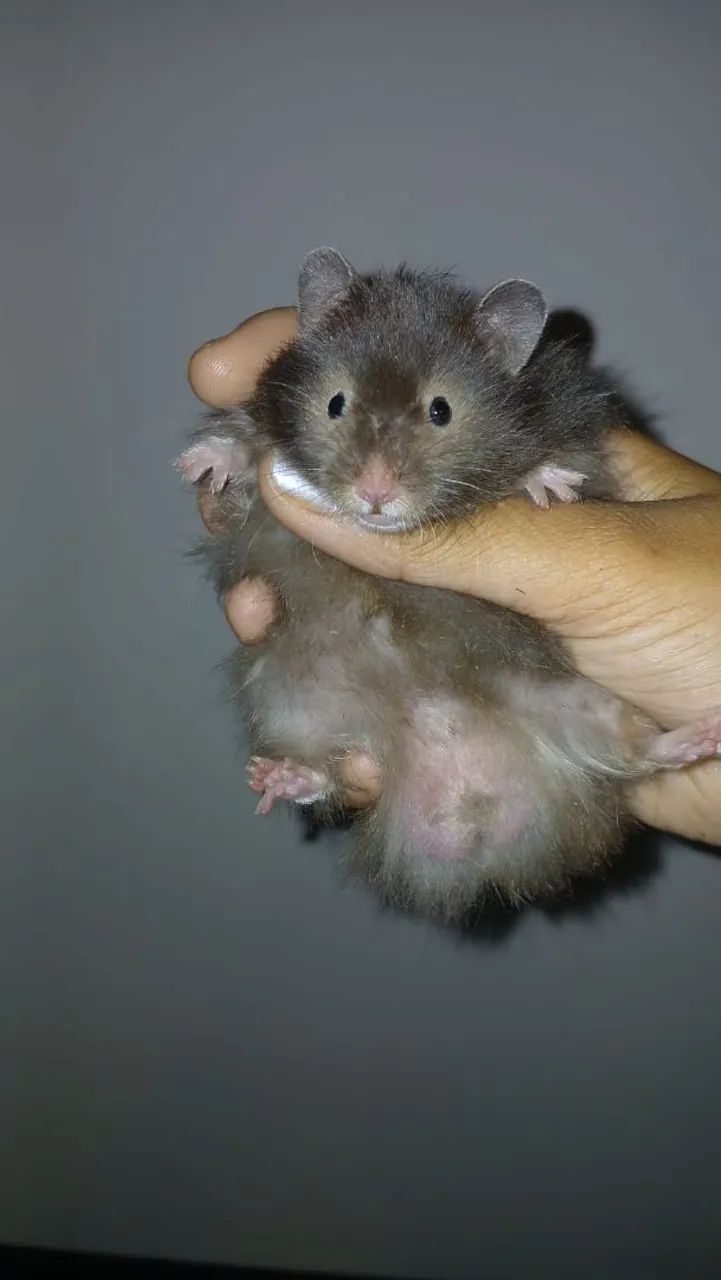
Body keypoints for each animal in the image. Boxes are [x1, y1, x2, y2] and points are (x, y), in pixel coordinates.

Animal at [177, 249, 721, 923]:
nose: (375, 493)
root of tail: (470, 810)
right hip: (292, 697)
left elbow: (557, 466)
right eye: (335, 404)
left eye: (441, 410)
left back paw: (700, 737)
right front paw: (202, 465)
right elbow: (243, 439)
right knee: (326, 770)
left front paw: (547, 486)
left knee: (635, 750)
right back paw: (278, 778)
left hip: (578, 703)